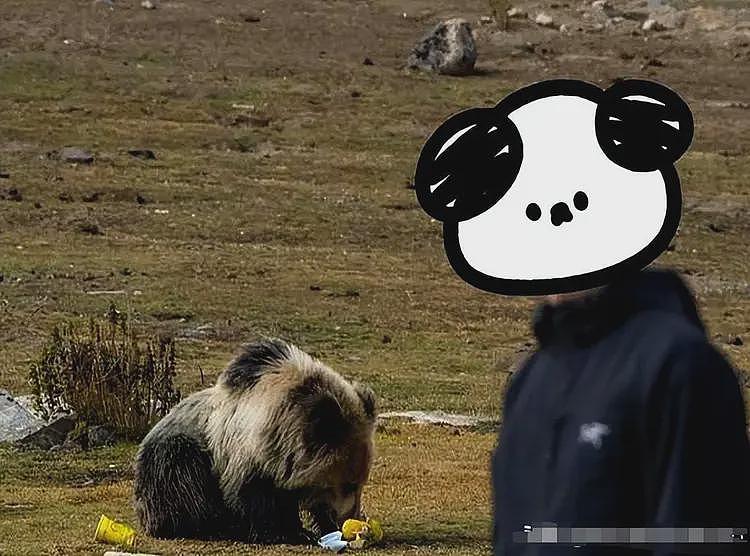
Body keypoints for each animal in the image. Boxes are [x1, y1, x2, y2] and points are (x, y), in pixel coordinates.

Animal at [132, 338, 377, 544]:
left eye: (361, 482)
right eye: (349, 484)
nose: (350, 517)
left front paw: (303, 528)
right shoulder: (244, 453)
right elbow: (252, 497)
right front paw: (283, 532)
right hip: (172, 458)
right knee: (183, 484)